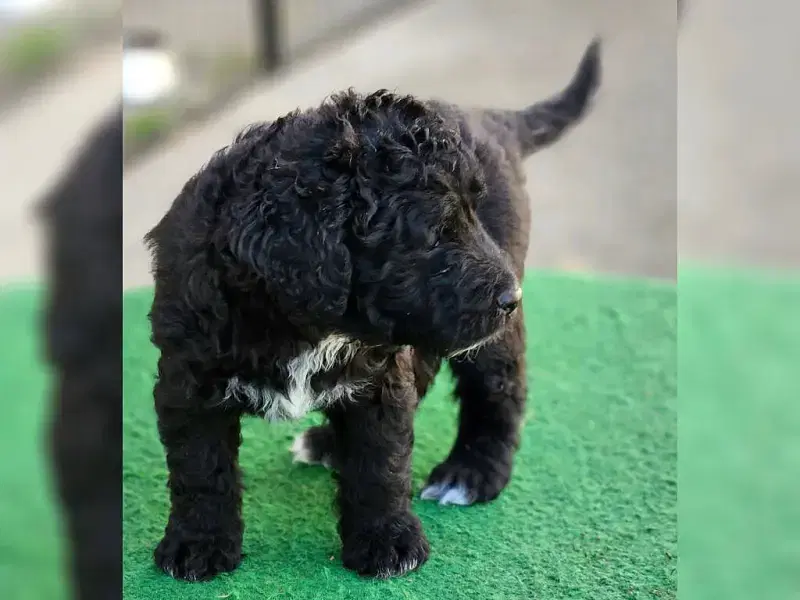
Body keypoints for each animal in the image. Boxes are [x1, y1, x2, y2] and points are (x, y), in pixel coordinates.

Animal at [145, 39, 601, 581]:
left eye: (472, 215)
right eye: (434, 233)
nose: (511, 298)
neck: (307, 323)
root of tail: (490, 117)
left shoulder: (381, 377)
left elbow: (380, 462)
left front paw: (388, 542)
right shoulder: (187, 377)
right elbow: (200, 468)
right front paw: (198, 544)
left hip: (485, 340)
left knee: (498, 390)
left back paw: (470, 473)